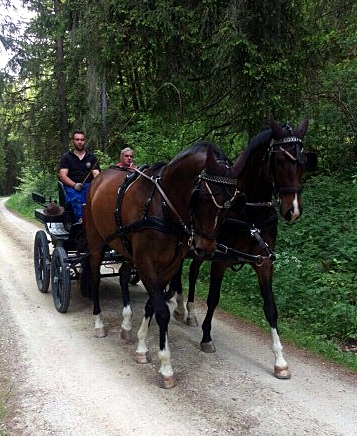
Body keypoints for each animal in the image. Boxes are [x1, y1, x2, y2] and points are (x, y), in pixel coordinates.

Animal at [84, 142, 246, 388]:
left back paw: (126, 323)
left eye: (230, 204)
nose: (205, 249)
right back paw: (99, 323)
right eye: (202, 197)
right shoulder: (146, 263)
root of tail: (98, 178)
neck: (163, 207)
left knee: (123, 275)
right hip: (96, 241)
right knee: (94, 277)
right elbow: (161, 312)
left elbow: (152, 305)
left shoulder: (167, 266)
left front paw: (141, 345)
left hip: (126, 248)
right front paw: (166, 366)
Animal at [168, 117, 316, 380]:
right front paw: (207, 337)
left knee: (193, 272)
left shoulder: (263, 262)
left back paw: (190, 312)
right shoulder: (220, 260)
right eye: (279, 160)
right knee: (178, 273)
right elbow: (213, 299)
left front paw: (280, 360)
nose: (293, 210)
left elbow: (271, 308)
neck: (249, 213)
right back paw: (180, 305)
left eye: (302, 163)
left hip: (201, 249)